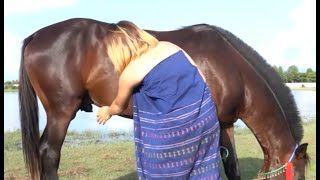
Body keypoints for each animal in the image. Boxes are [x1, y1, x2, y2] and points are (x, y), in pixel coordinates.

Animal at [18, 17, 308, 180]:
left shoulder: (226, 123)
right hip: (61, 112)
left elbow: (232, 166)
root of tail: (35, 36)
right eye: (300, 175)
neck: (231, 66)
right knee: (50, 153)